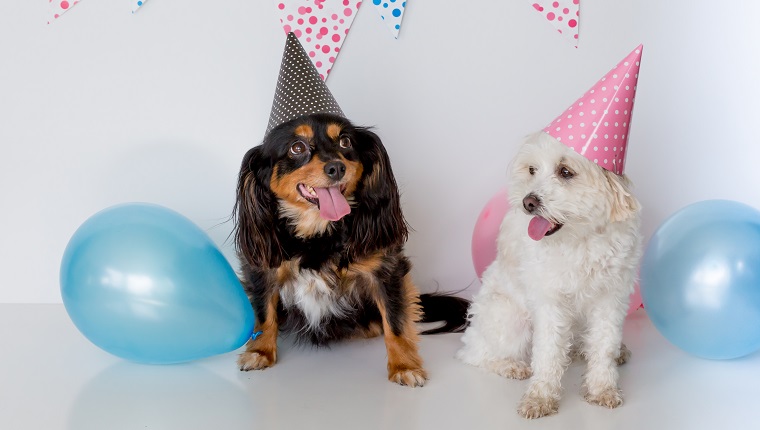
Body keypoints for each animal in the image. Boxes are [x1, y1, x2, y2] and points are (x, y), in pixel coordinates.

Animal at [233, 113, 470, 386]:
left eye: (345, 142)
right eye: (297, 148)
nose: (336, 167)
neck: (319, 232)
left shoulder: (387, 271)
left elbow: (395, 322)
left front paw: (404, 366)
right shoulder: (262, 272)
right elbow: (264, 313)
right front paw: (259, 352)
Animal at [458, 133, 640, 418]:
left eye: (565, 172)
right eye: (532, 170)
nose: (528, 202)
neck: (581, 239)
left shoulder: (610, 299)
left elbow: (604, 345)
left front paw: (602, 388)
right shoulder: (549, 302)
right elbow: (548, 352)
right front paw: (540, 396)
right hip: (509, 319)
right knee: (475, 353)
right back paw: (510, 365)